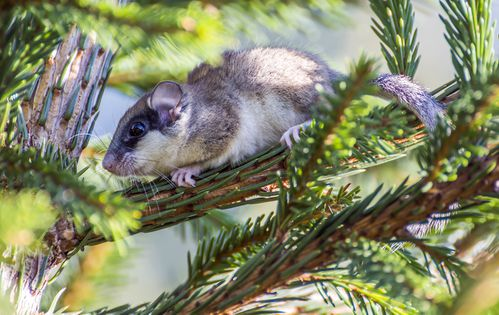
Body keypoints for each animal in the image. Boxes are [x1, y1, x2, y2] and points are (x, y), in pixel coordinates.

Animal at [101, 47, 446, 188]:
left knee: (325, 113)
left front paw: (185, 172)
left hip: (289, 93)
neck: (193, 116)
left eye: (136, 130)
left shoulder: (224, 129)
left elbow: (210, 158)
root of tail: (335, 80)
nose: (105, 166)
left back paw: (298, 130)